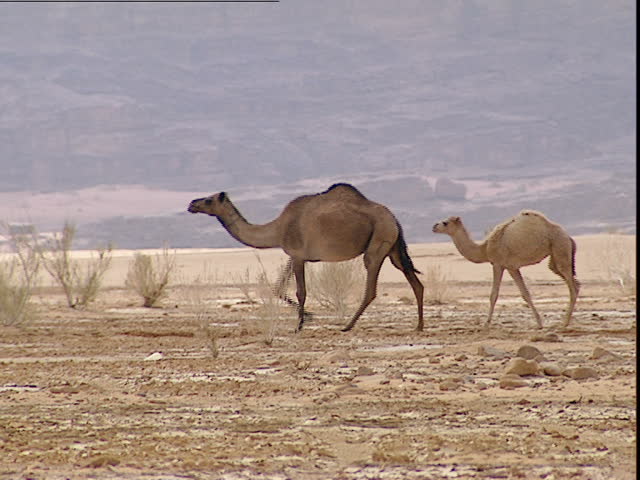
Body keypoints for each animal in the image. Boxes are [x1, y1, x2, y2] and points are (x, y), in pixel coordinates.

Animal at [188, 183, 424, 332]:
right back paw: (419, 326)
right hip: (393, 248)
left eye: (208, 200)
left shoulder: (299, 255)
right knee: (415, 282)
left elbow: (301, 291)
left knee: (371, 287)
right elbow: (277, 288)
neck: (277, 228)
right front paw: (309, 316)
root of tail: (393, 218)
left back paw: (347, 326)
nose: (191, 204)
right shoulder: (293, 255)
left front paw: (299, 325)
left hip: (378, 240)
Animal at [432, 210, 580, 328]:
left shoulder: (499, 264)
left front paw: (486, 324)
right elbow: (525, 293)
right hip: (555, 257)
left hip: (560, 247)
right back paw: (565, 321)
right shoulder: (512, 267)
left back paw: (564, 323)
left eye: (445, 222)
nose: (434, 226)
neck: (485, 249)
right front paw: (539, 323)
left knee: (572, 287)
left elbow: (494, 295)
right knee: (574, 282)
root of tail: (568, 237)